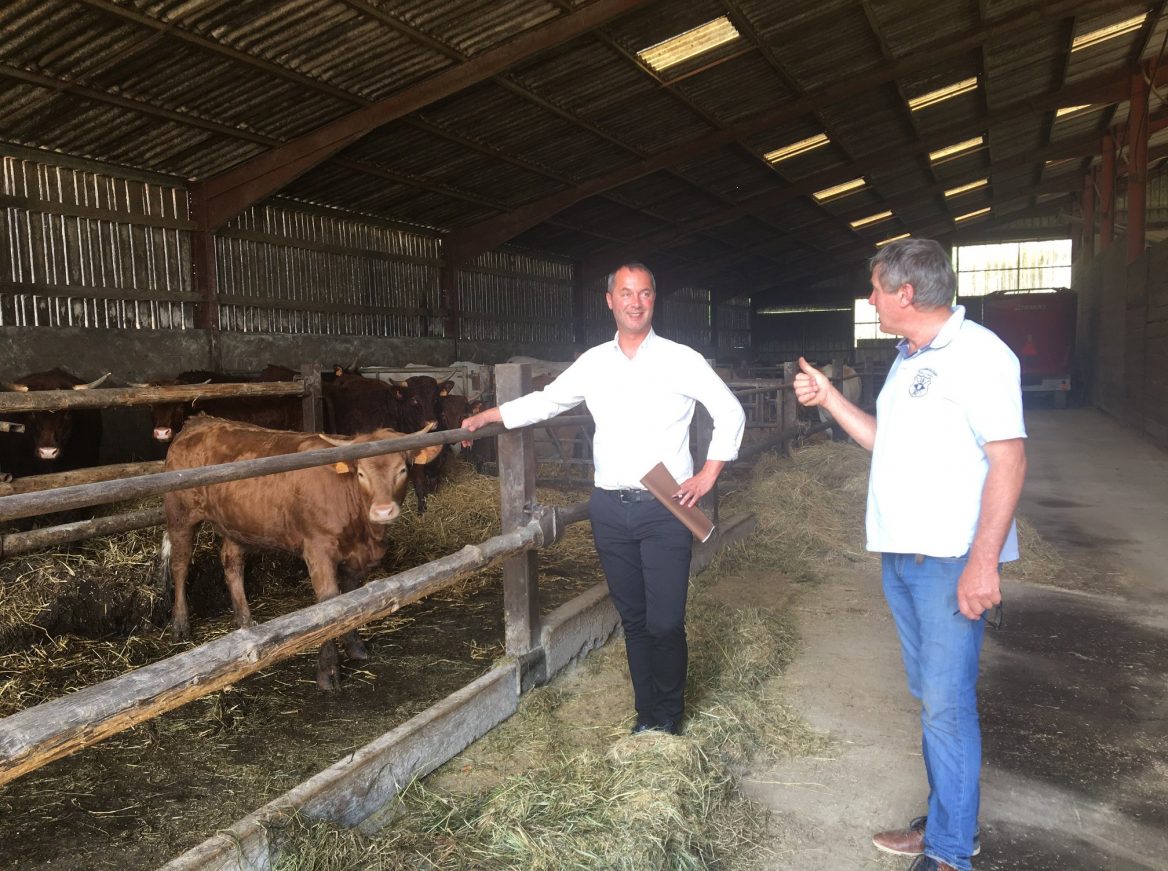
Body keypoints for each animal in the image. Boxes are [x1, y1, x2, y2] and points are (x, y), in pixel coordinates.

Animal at [157, 413, 439, 686]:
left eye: (402, 470)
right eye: (361, 474)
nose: (382, 511)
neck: (365, 533)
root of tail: (199, 421)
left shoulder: (357, 559)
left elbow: (352, 600)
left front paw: (355, 646)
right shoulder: (318, 550)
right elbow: (330, 606)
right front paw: (328, 671)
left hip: (235, 523)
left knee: (231, 563)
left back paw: (245, 621)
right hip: (180, 513)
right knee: (180, 564)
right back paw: (180, 623)